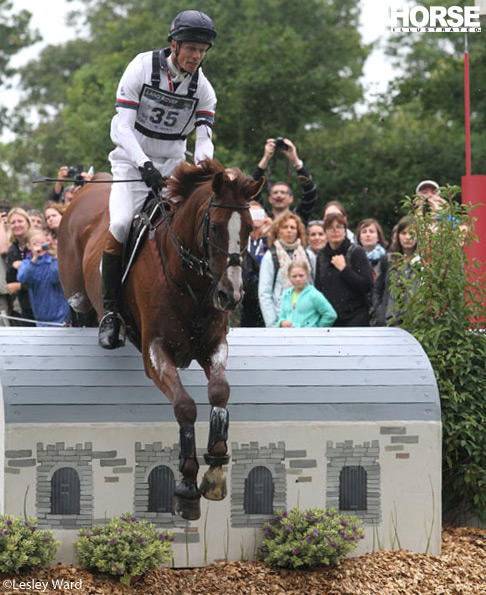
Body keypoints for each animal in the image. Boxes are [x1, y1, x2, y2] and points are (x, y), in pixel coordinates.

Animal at [58, 161, 264, 520]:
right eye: (215, 228)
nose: (232, 295)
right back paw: (105, 327)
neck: (190, 280)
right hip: (78, 296)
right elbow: (185, 406)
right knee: (80, 310)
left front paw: (216, 466)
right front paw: (187, 483)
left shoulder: (214, 345)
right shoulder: (155, 351)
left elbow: (219, 391)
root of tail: (87, 187)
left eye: (250, 228)